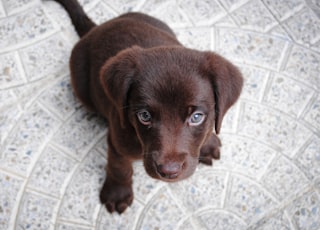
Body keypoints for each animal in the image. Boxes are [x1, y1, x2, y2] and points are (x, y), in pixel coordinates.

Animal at [52, 0, 242, 214]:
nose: (168, 171)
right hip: (81, 85)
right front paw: (117, 193)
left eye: (196, 117)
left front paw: (207, 143)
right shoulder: (118, 140)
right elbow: (119, 167)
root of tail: (96, 29)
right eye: (144, 116)